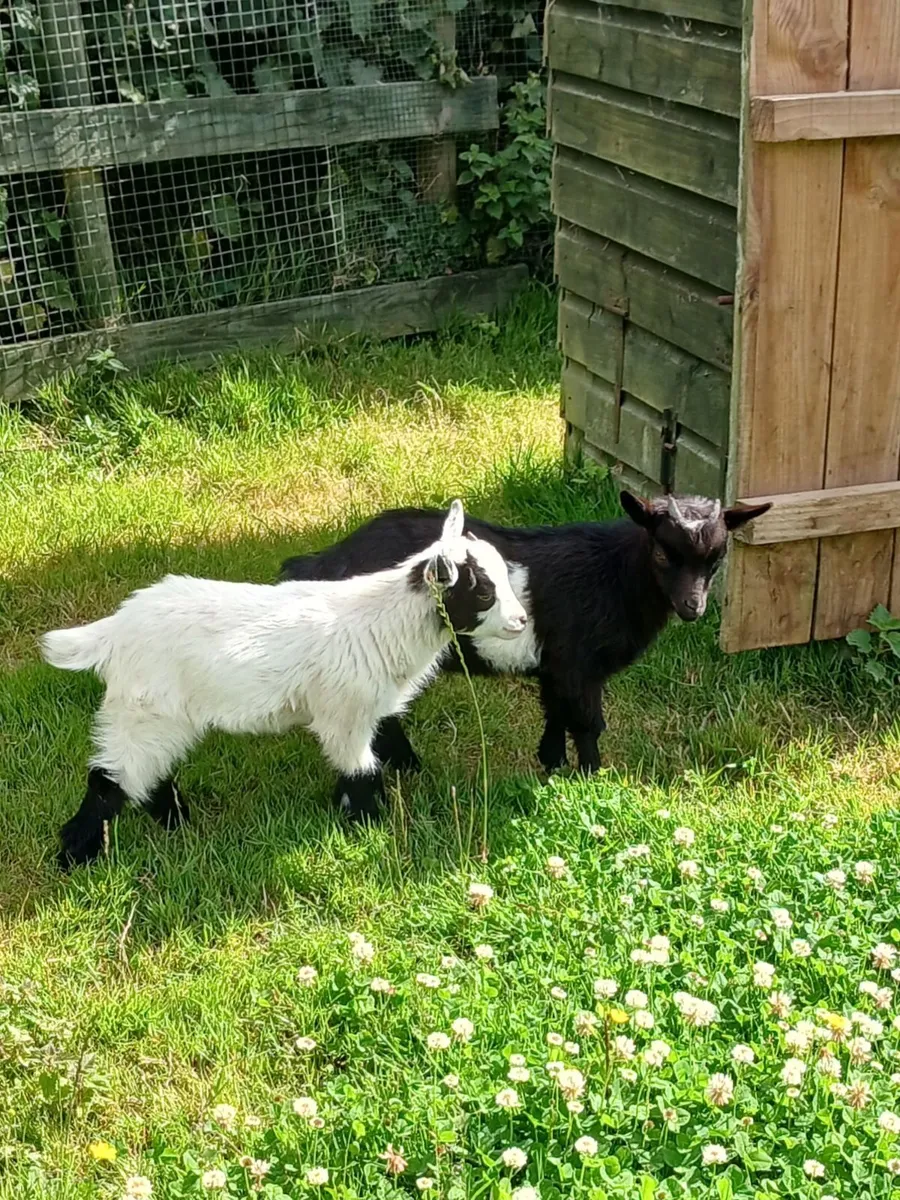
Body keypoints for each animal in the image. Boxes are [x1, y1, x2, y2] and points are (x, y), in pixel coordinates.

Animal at [42, 500, 527, 868]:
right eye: (484, 592)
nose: (522, 621)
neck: (382, 622)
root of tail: (112, 632)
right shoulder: (343, 713)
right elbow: (361, 770)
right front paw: (370, 825)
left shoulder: (368, 709)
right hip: (145, 710)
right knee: (109, 778)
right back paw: (75, 858)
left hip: (159, 716)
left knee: (147, 774)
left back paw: (177, 823)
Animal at [280, 491, 771, 775]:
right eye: (663, 553)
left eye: (717, 558)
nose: (693, 607)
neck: (611, 575)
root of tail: (328, 559)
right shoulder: (578, 664)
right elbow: (588, 723)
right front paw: (592, 776)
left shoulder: (555, 665)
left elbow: (555, 712)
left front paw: (551, 764)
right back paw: (408, 767)